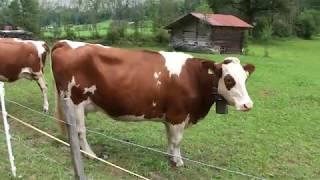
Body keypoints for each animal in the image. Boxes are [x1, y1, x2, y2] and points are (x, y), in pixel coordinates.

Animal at [52, 40, 255, 167]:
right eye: (229, 80)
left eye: (245, 78)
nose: (248, 105)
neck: (194, 77)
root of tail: (65, 42)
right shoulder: (178, 115)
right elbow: (177, 140)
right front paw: (177, 162)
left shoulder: (170, 117)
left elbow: (170, 139)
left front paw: (170, 156)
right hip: (75, 101)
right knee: (80, 130)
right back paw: (90, 154)